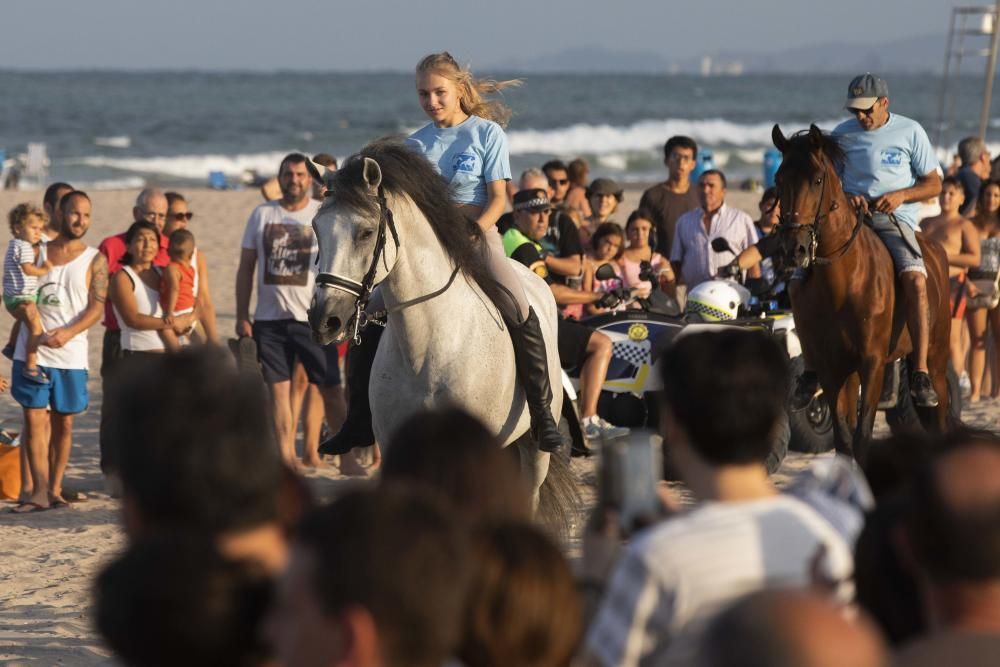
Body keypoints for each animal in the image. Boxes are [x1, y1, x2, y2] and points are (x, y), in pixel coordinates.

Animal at [768, 122, 948, 462]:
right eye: (778, 180)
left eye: (817, 179)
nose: (793, 249)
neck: (843, 282)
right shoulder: (832, 367)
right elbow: (843, 438)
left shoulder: (873, 363)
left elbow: (862, 436)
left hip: (935, 356)